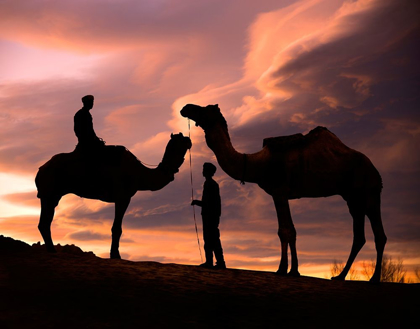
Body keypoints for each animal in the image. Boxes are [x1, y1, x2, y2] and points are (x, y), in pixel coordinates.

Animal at [35, 132, 191, 258]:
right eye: (176, 144)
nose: (189, 139)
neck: (139, 174)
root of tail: (41, 169)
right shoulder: (123, 197)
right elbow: (117, 228)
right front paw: (115, 255)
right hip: (49, 192)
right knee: (45, 222)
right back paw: (52, 250)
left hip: (52, 195)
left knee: (45, 222)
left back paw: (51, 249)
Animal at [180, 103, 388, 282]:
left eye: (204, 109)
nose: (185, 107)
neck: (258, 163)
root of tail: (375, 170)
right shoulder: (278, 194)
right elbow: (286, 231)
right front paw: (287, 269)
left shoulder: (280, 192)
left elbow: (287, 231)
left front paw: (288, 270)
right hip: (352, 198)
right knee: (359, 236)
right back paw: (340, 276)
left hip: (370, 191)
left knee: (379, 234)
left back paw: (374, 279)